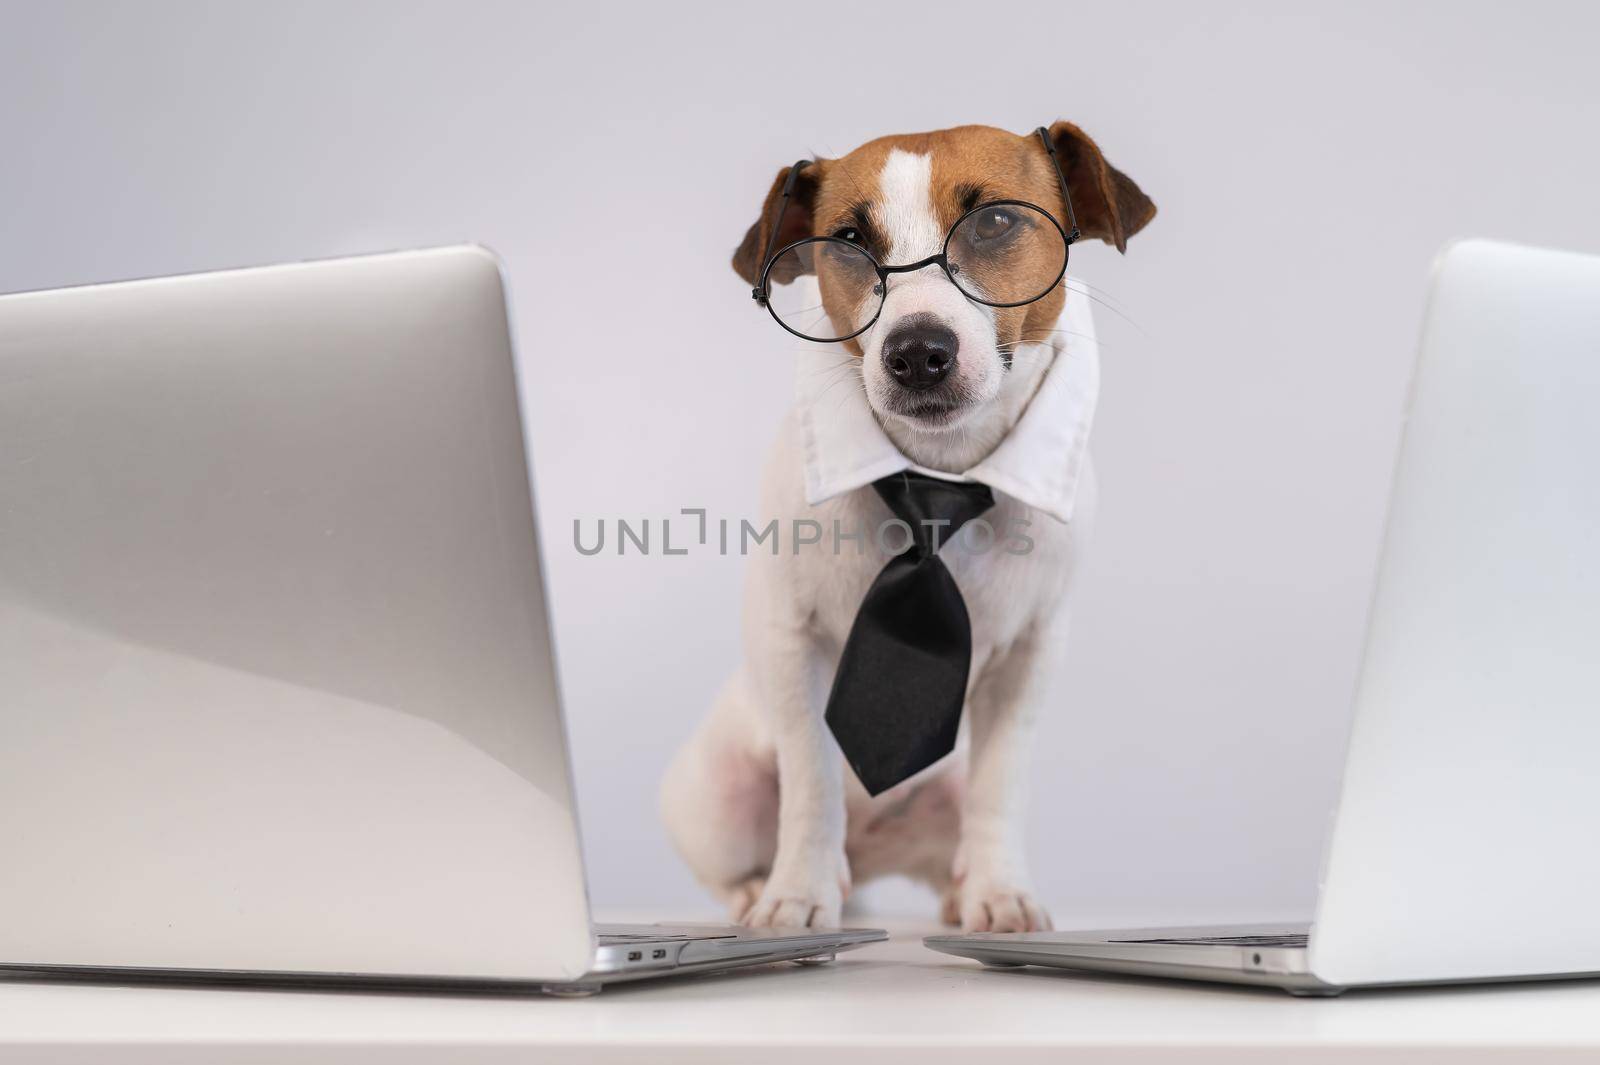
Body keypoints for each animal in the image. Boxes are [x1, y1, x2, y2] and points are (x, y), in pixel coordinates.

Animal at [659, 119, 1152, 927]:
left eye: (995, 222)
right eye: (851, 241)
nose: (917, 352)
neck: (940, 470)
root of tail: (870, 852)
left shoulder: (1031, 654)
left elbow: (999, 785)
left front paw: (998, 892)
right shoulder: (792, 642)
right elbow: (812, 777)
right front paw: (798, 893)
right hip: (716, 795)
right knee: (743, 850)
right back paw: (759, 889)